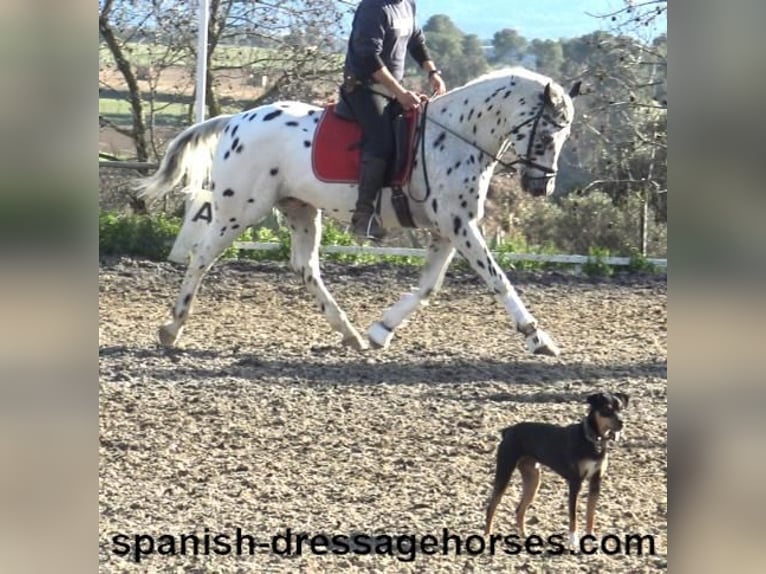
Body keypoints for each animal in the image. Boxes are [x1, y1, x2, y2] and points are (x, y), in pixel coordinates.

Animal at [136, 66, 584, 356]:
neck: (457, 137)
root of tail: (236, 120)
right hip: (238, 208)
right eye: (547, 135)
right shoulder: (459, 225)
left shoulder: (446, 229)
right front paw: (538, 339)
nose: (540, 187)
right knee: (202, 257)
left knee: (305, 268)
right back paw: (171, 329)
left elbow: (428, 287)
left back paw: (349, 333)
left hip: (300, 210)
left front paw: (380, 331)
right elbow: (498, 280)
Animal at [486, 392, 632, 548]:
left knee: (519, 510)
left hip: (533, 479)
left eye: (621, 408)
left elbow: (590, 515)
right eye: (607, 409)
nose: (622, 423)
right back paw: (487, 536)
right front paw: (573, 541)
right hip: (504, 472)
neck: (594, 440)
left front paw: (590, 538)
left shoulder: (595, 482)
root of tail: (508, 430)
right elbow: (573, 515)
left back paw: (525, 536)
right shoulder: (575, 482)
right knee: (491, 507)